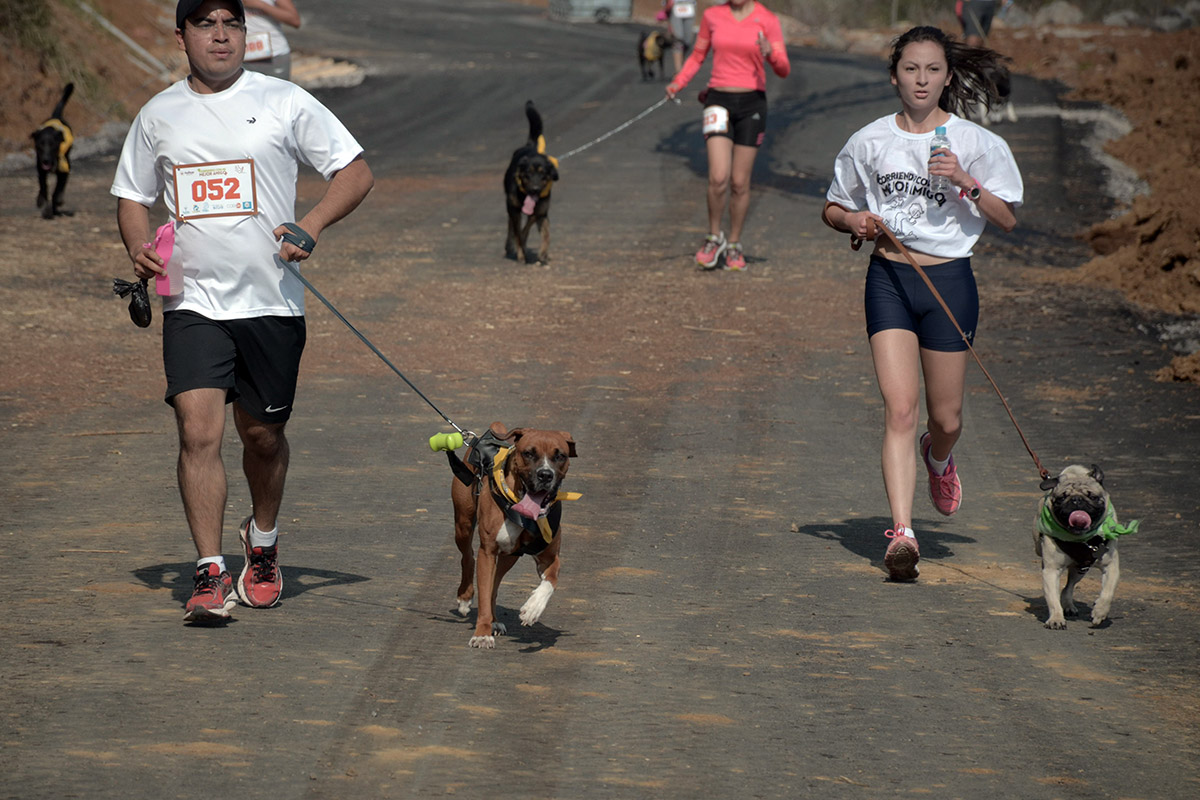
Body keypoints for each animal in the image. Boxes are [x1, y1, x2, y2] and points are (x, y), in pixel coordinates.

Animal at [31, 83, 75, 220]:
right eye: (40, 145)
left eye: (53, 145)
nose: (46, 160)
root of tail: (56, 116)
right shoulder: (40, 169)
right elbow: (44, 188)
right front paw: (44, 206)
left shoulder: (64, 169)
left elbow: (58, 190)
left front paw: (57, 202)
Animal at [451, 422, 578, 647]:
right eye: (529, 453)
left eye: (560, 456)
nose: (545, 474)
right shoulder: (488, 552)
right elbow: (483, 594)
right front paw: (481, 633)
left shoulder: (548, 557)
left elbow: (551, 580)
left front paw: (533, 607)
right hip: (463, 525)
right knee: (468, 557)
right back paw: (465, 598)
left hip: (509, 557)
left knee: (494, 586)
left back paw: (494, 621)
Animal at [506, 100, 561, 266]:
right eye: (528, 173)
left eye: (543, 174)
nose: (535, 190)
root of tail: (531, 145)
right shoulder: (514, 209)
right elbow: (518, 232)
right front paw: (521, 253)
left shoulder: (540, 212)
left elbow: (543, 233)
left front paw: (542, 253)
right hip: (511, 208)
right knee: (511, 227)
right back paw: (510, 246)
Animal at [1032, 462, 1142, 633]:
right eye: (1061, 498)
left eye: (1092, 497)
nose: (1076, 500)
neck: (1079, 538)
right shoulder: (1051, 570)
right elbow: (1053, 600)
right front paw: (1056, 619)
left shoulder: (1111, 567)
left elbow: (1107, 592)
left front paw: (1099, 612)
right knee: (1064, 588)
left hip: (1080, 569)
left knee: (1069, 587)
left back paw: (1071, 606)